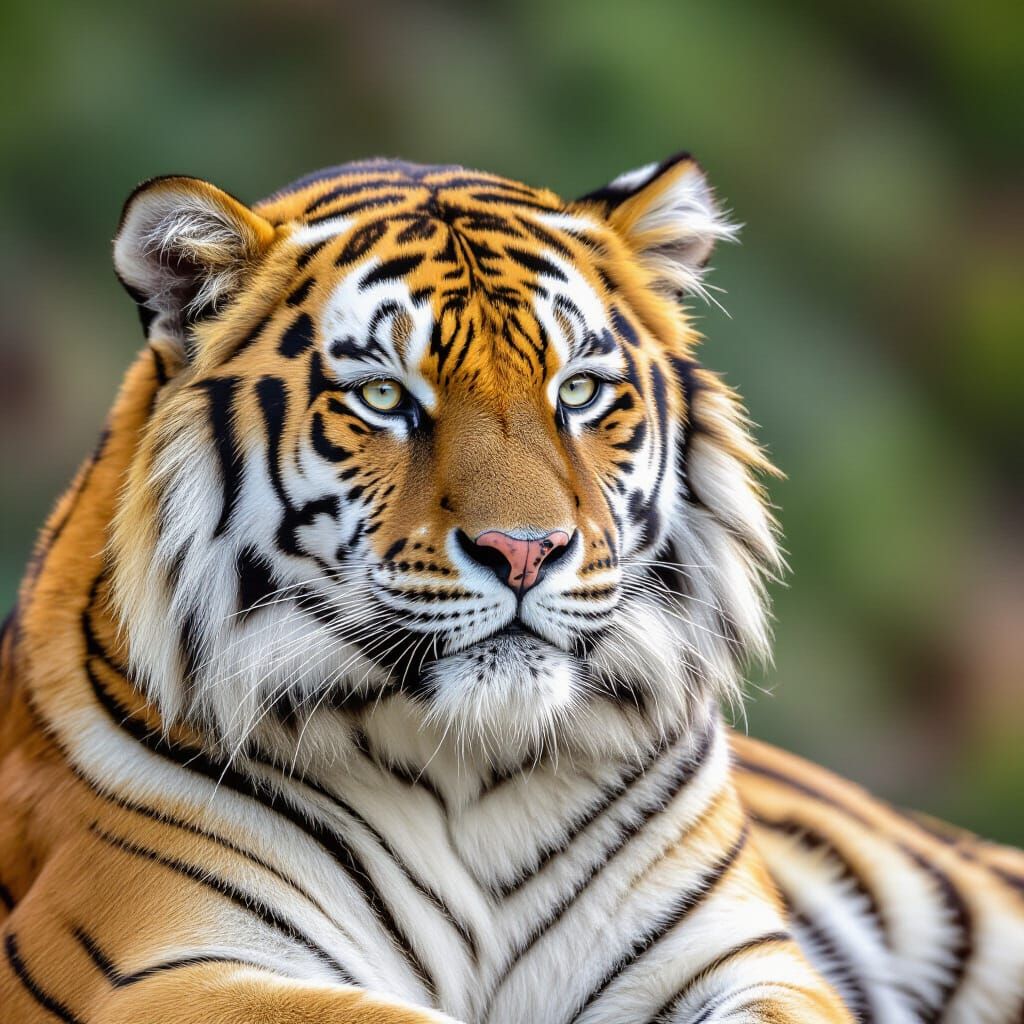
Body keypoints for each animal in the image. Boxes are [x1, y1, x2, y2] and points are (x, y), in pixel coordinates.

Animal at [0, 153, 1021, 1024]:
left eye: (578, 392)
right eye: (383, 398)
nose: (525, 552)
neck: (473, 772)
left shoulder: (747, 960)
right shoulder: (162, 963)